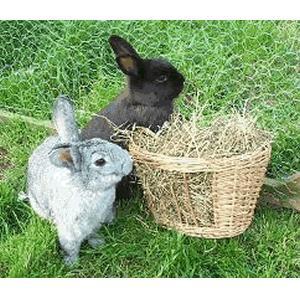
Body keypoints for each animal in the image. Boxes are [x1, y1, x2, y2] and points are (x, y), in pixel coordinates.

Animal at [25, 95, 133, 264]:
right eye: (100, 161)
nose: (129, 163)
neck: (88, 188)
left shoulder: (96, 223)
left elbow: (92, 234)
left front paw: (98, 243)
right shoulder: (69, 230)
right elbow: (71, 247)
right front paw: (71, 263)